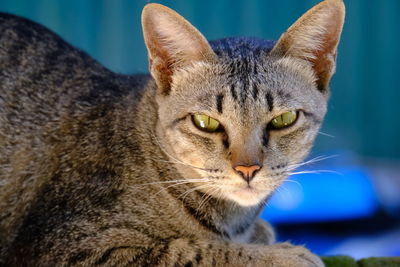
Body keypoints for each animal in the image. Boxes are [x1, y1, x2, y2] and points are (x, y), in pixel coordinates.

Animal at [0, 0, 344, 266]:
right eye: (206, 123)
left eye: (283, 119)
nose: (247, 169)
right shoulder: (61, 246)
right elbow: (191, 251)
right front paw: (279, 255)